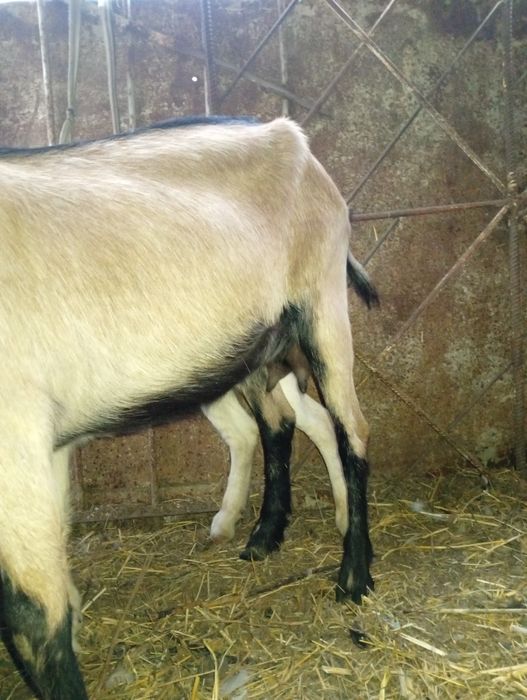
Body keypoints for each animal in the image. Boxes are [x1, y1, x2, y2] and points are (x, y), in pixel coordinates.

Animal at [0, 117, 373, 699]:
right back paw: (264, 535)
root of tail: (292, 137)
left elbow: (34, 610)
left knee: (349, 426)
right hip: (251, 348)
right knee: (278, 424)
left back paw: (353, 574)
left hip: (322, 303)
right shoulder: (46, 444)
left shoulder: (16, 432)